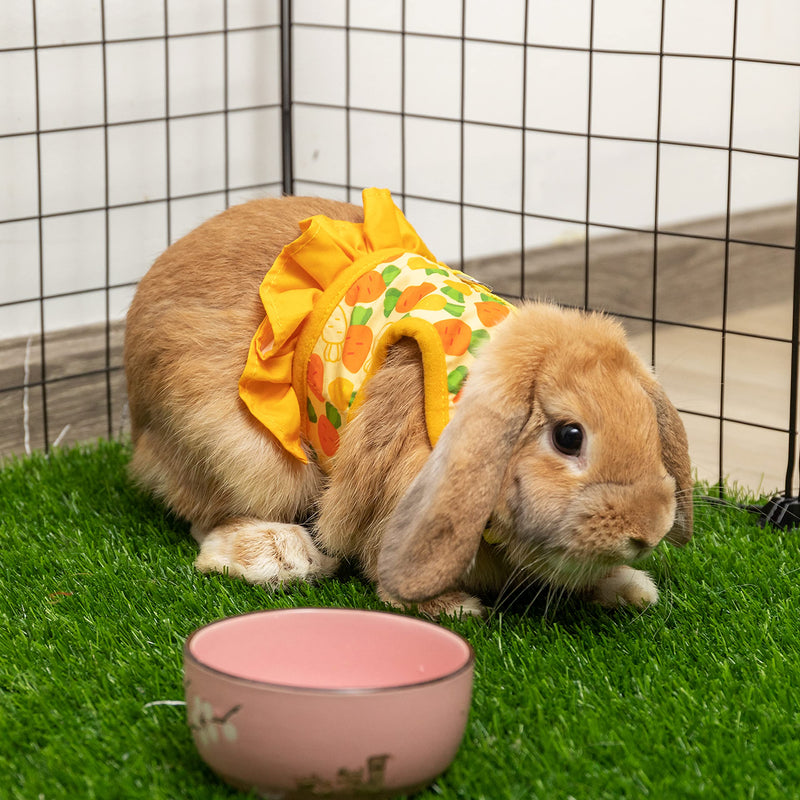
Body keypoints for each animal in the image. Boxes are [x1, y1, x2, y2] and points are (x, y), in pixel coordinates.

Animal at [124, 190, 693, 618]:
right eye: (569, 437)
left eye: (648, 426)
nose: (648, 531)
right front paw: (451, 607)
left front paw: (629, 587)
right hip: (239, 452)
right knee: (206, 516)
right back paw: (282, 557)